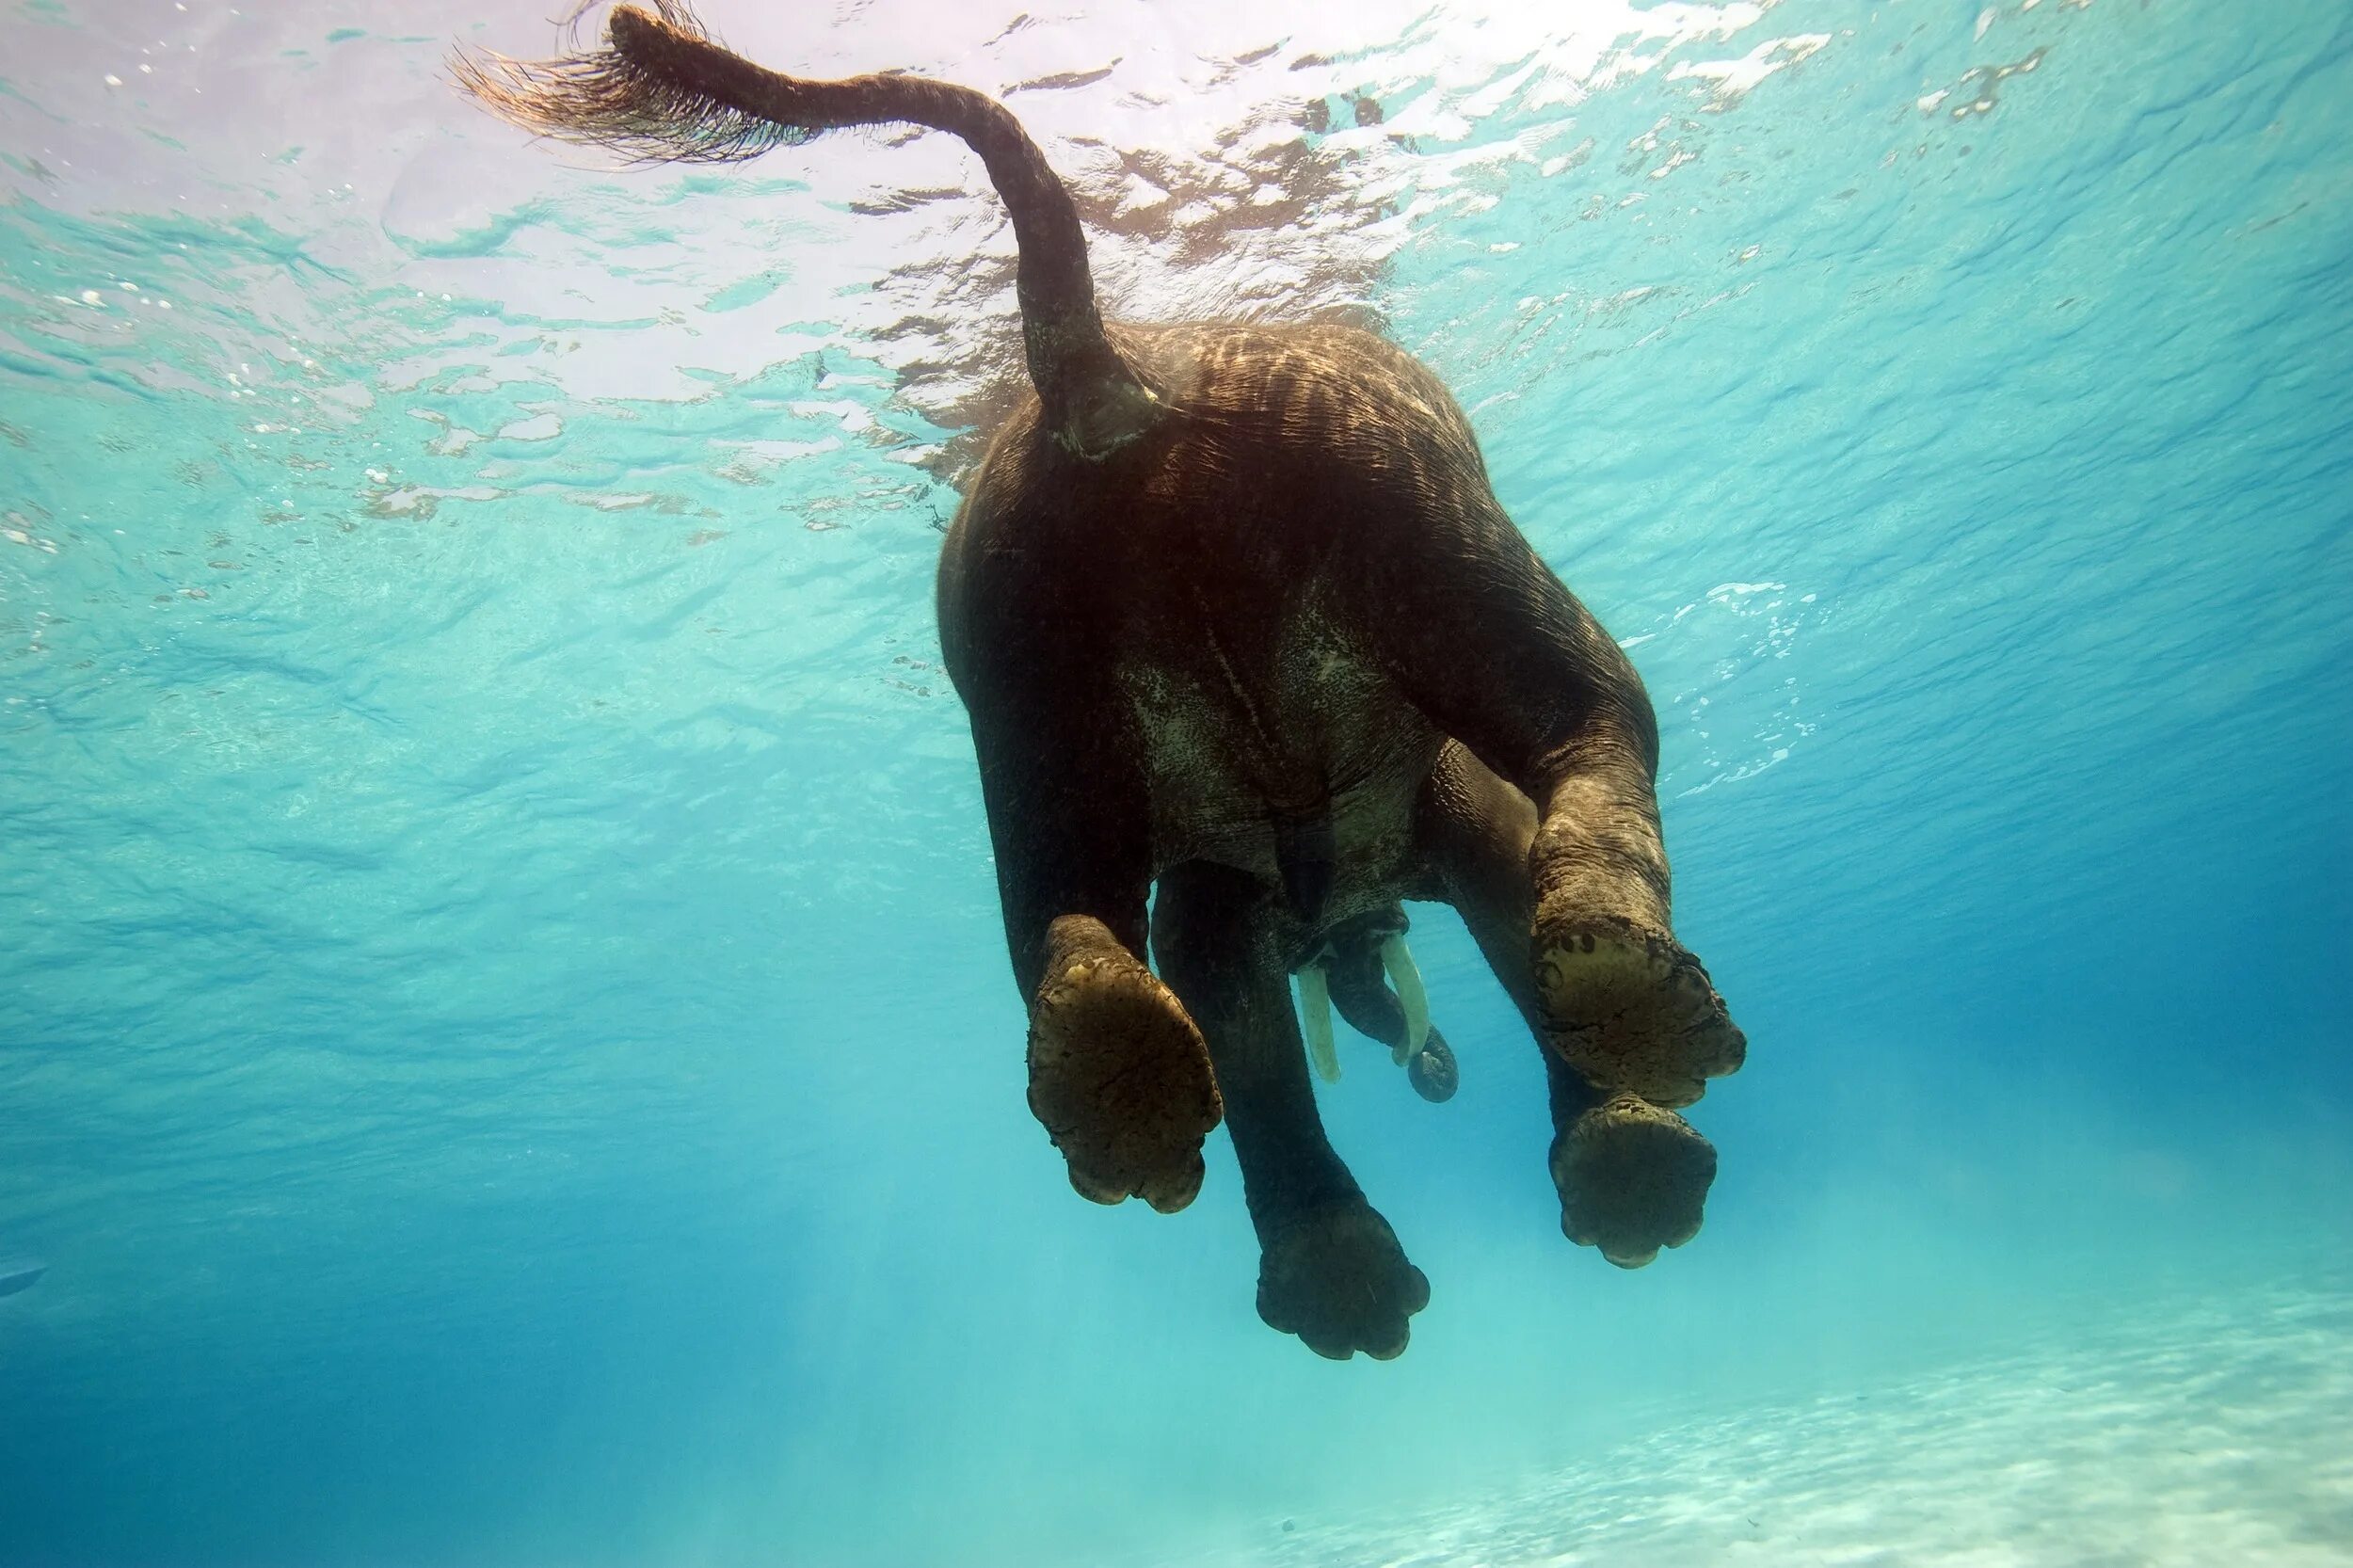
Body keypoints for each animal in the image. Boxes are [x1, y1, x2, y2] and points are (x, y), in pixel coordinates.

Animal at [458, 0, 1751, 1355]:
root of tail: (1119, 368)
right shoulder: (1433, 822)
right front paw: (1619, 1130)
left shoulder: (1237, 877)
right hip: (1448, 558)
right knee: (1594, 729)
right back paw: (1619, 1024)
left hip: (1028, 682)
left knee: (1065, 917)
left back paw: (1131, 1085)